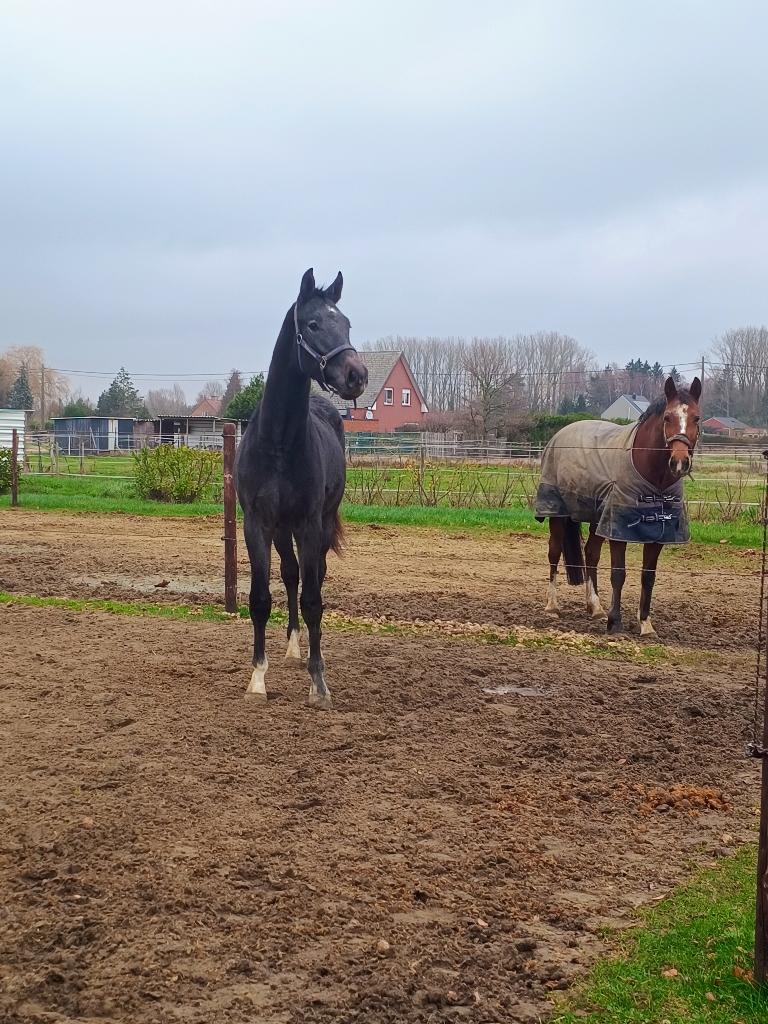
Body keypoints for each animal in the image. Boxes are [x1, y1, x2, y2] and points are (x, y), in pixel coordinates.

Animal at [234, 268, 368, 709]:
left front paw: (319, 683)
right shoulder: (257, 524)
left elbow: (314, 600)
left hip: (319, 525)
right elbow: (261, 598)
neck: (278, 442)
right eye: (312, 324)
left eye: (346, 324)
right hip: (282, 529)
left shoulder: (309, 524)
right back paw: (293, 646)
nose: (357, 375)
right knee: (291, 575)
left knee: (314, 578)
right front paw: (258, 679)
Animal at [534, 376, 702, 636]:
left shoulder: (657, 535)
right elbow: (618, 574)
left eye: (696, 418)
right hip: (557, 514)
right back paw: (552, 606)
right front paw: (615, 623)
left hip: (596, 519)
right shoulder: (617, 530)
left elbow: (648, 577)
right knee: (553, 553)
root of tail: (561, 433)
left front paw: (646, 624)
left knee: (591, 555)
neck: (653, 476)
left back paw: (595, 607)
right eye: (667, 417)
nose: (679, 462)